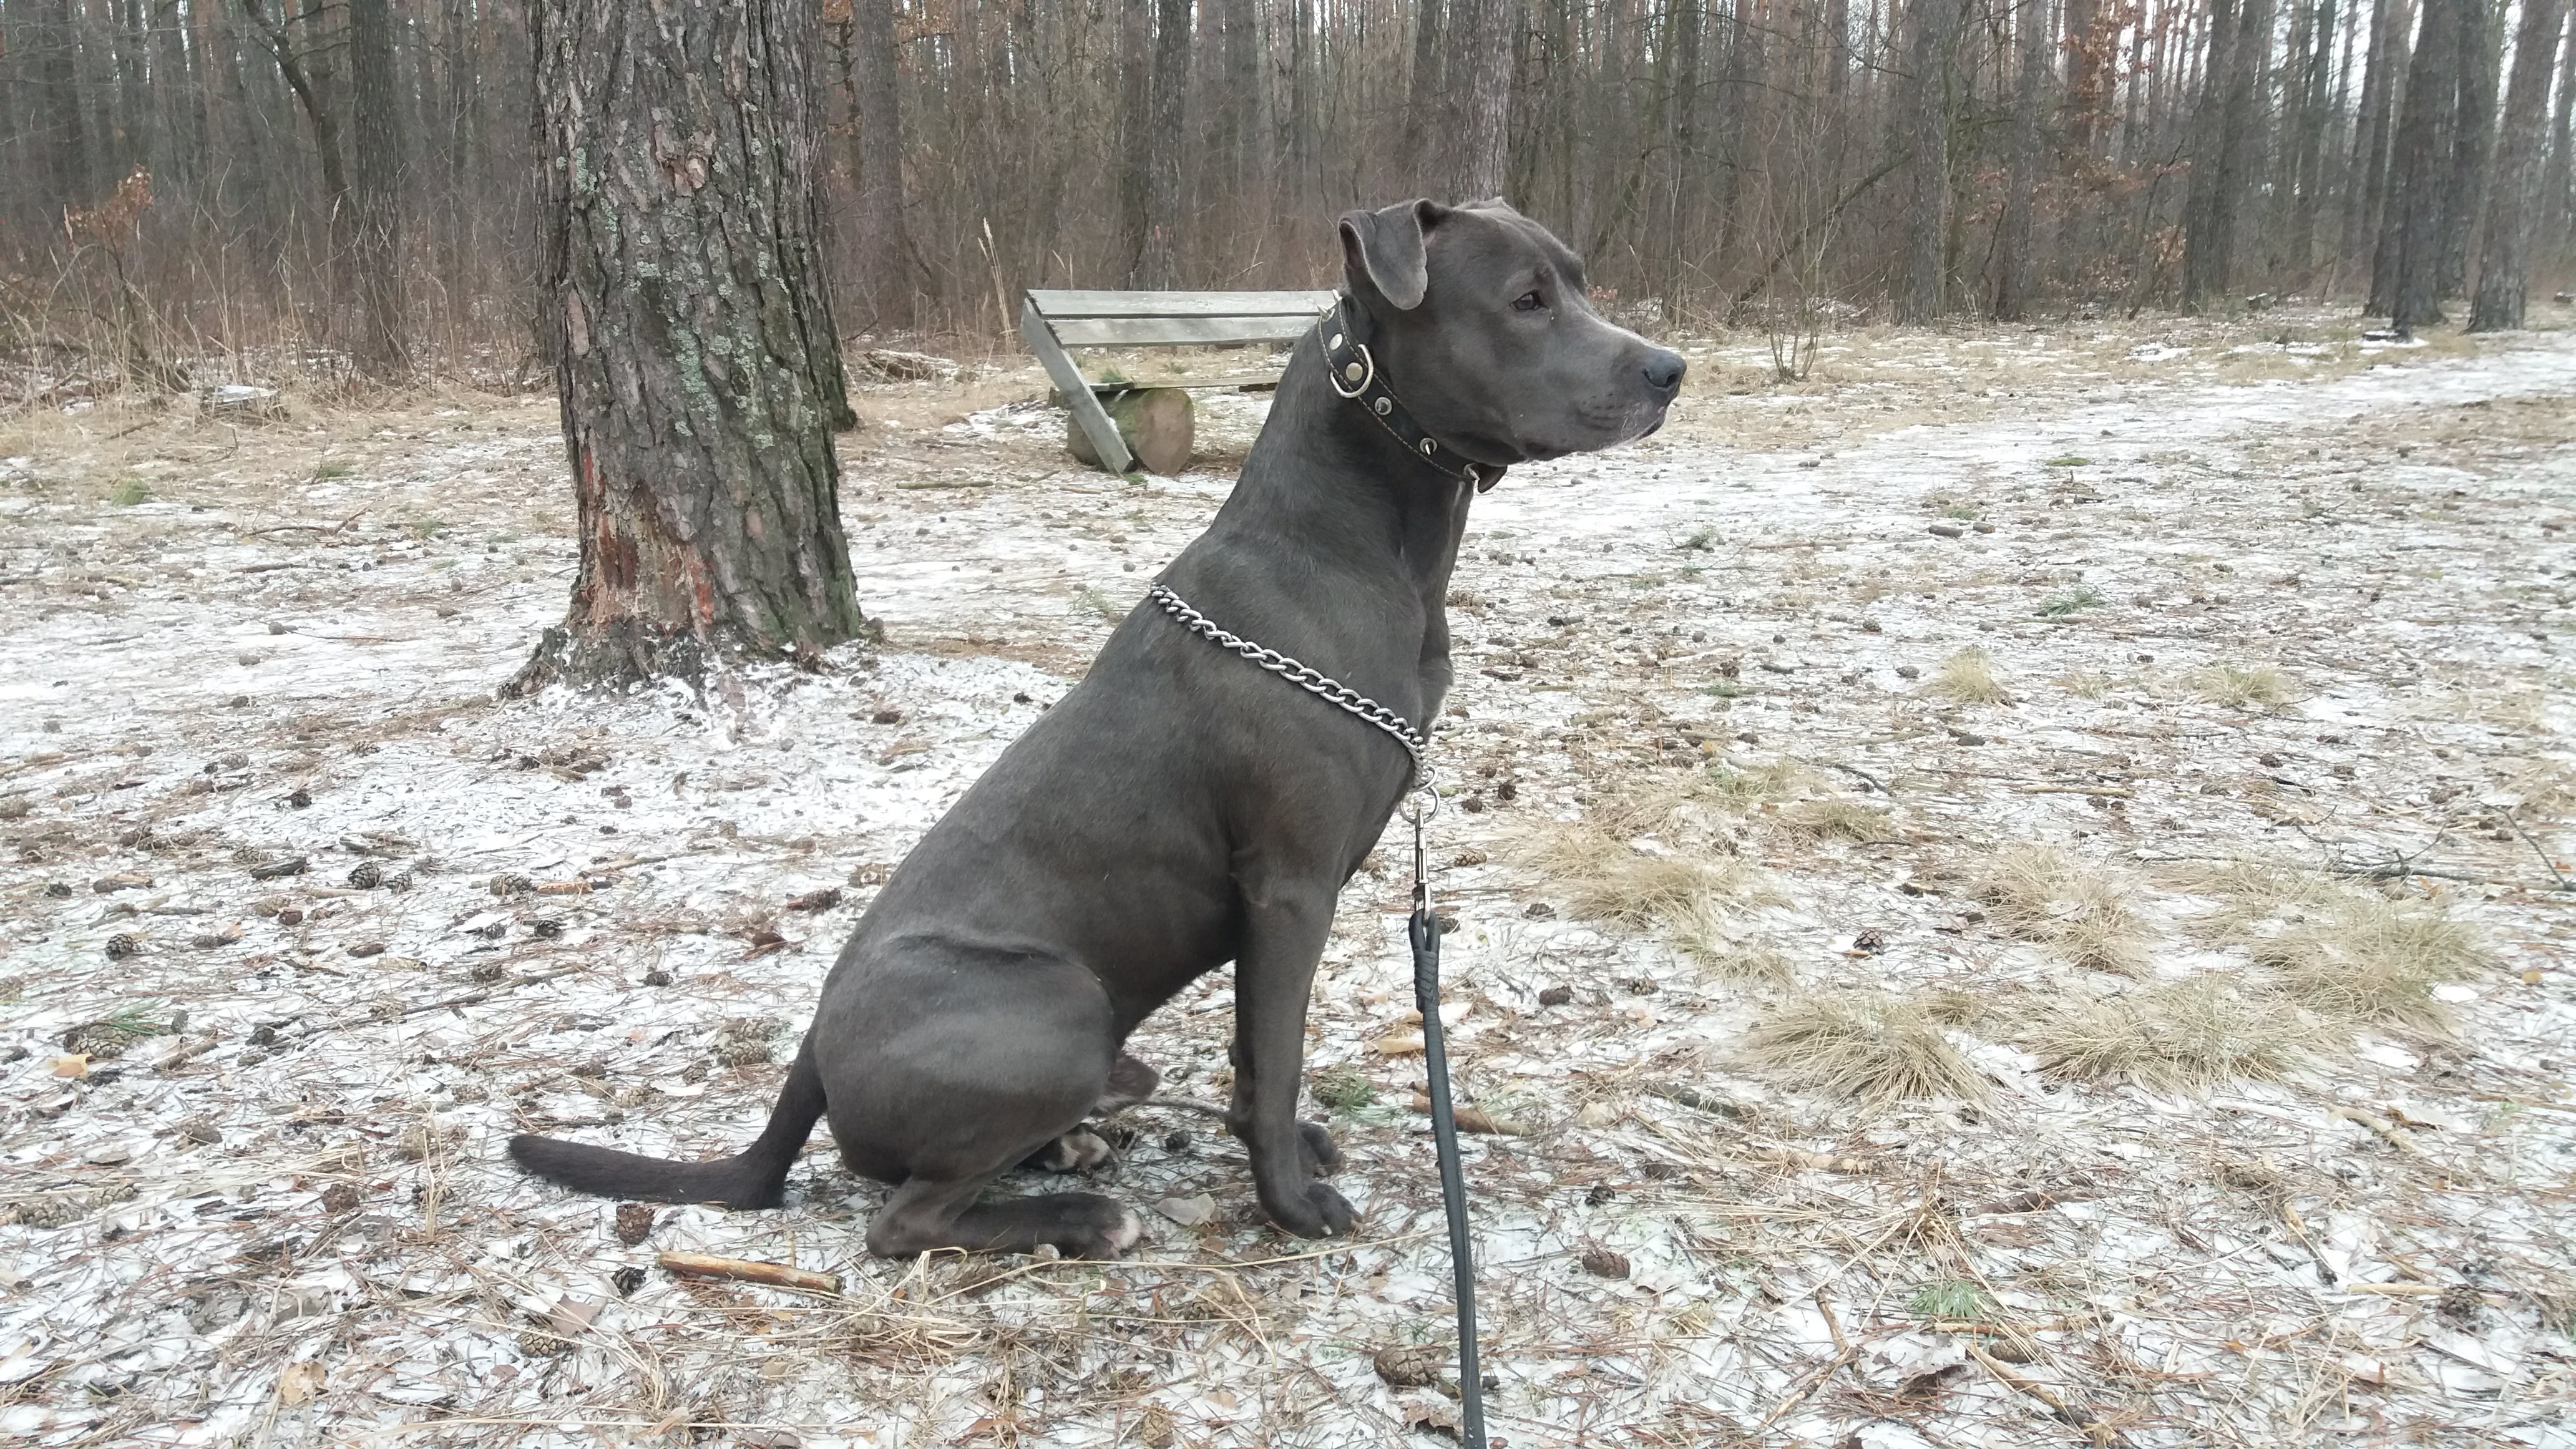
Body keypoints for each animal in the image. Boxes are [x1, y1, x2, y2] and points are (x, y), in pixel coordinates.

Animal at [509, 198, 1685, 1257]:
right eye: (1526, 300)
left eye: (1579, 282)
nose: (1667, 369)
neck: (1350, 540)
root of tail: (808, 1053)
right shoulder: (1289, 885)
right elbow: (1276, 1057)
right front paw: (1288, 1202)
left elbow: (1255, 1059)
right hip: (1061, 1006)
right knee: (902, 1221)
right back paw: (1079, 1213)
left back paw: (1071, 1151)